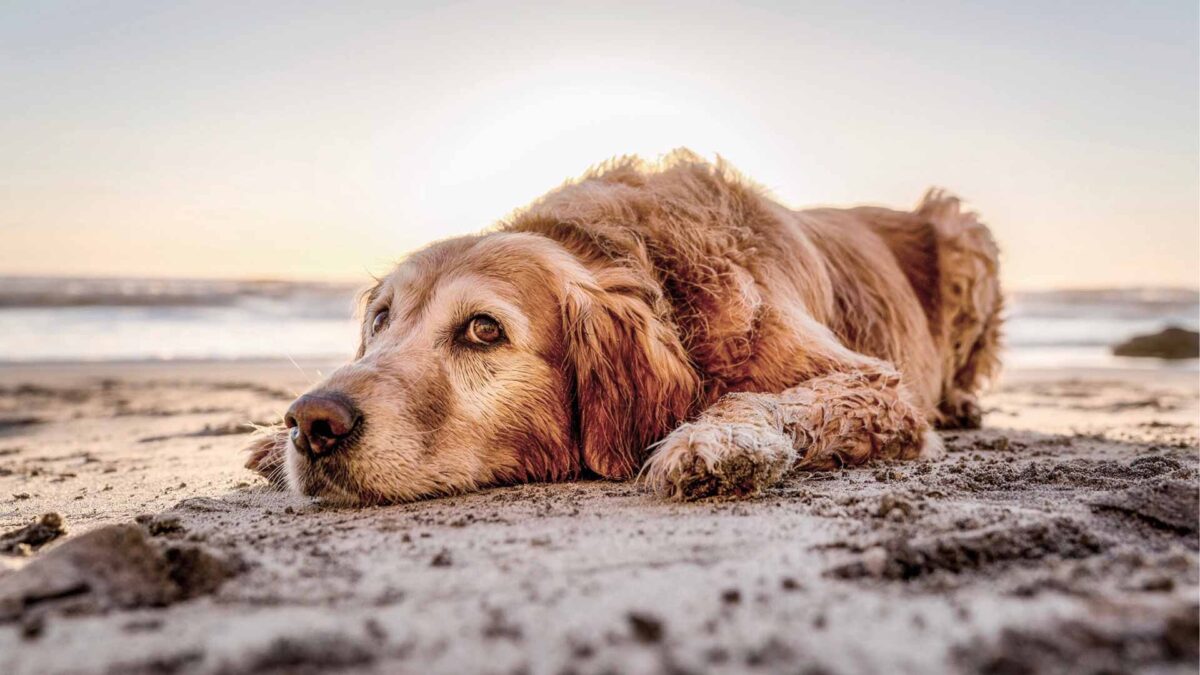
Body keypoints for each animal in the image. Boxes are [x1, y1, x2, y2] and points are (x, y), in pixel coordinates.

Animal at [246, 149, 1003, 502]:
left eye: (484, 330)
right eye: (381, 318)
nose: (312, 422)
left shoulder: (878, 386)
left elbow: (768, 398)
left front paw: (714, 440)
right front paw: (266, 444)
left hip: (964, 232)